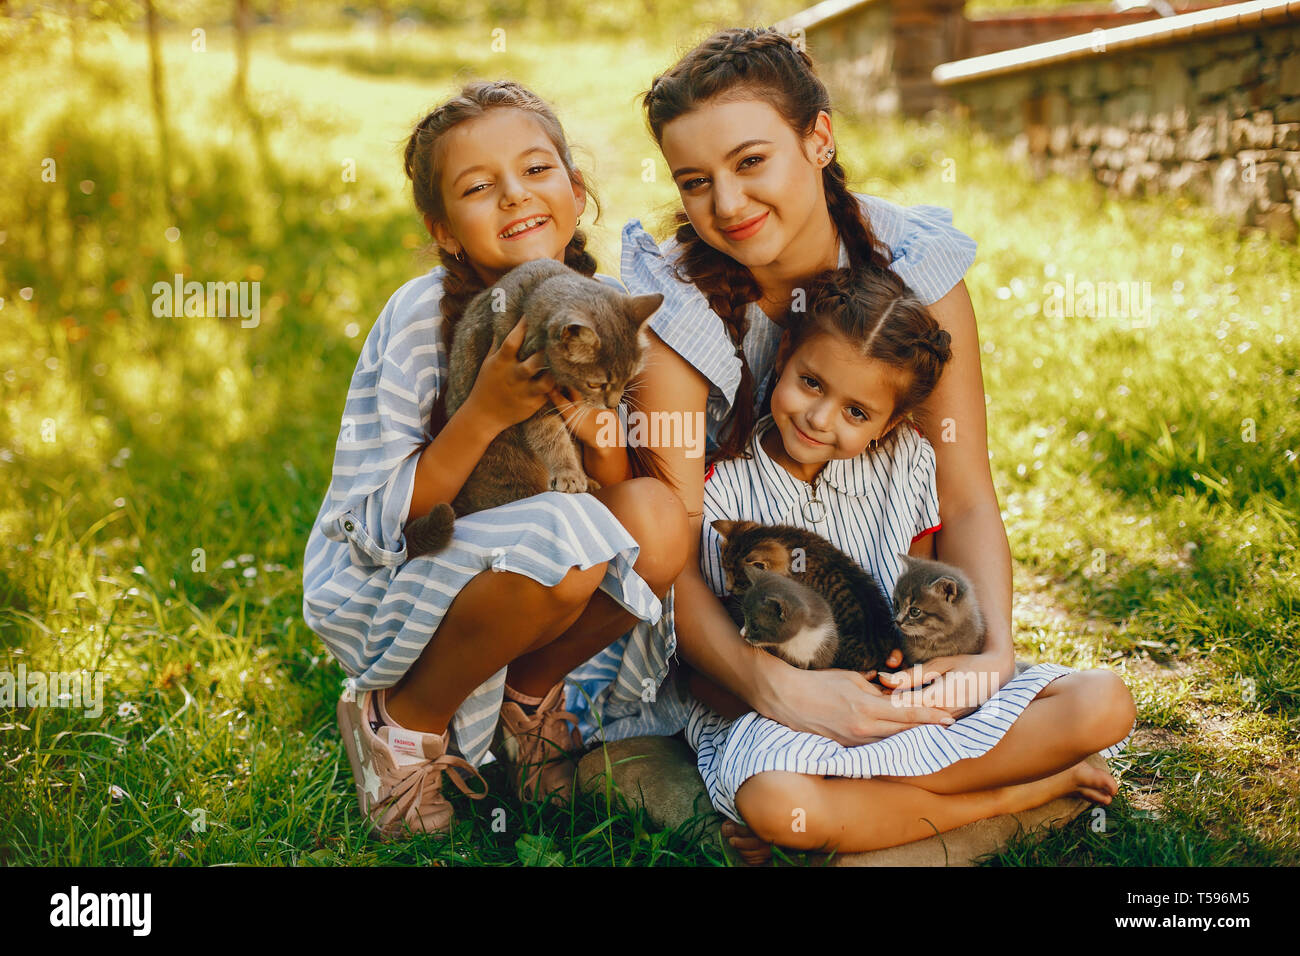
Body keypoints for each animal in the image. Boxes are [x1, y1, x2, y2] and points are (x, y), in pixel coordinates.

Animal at [403, 261, 660, 561]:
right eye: (596, 384)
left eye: (629, 376)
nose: (612, 404)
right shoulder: (536, 407)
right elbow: (555, 441)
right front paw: (569, 475)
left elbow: (574, 445)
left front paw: (583, 477)